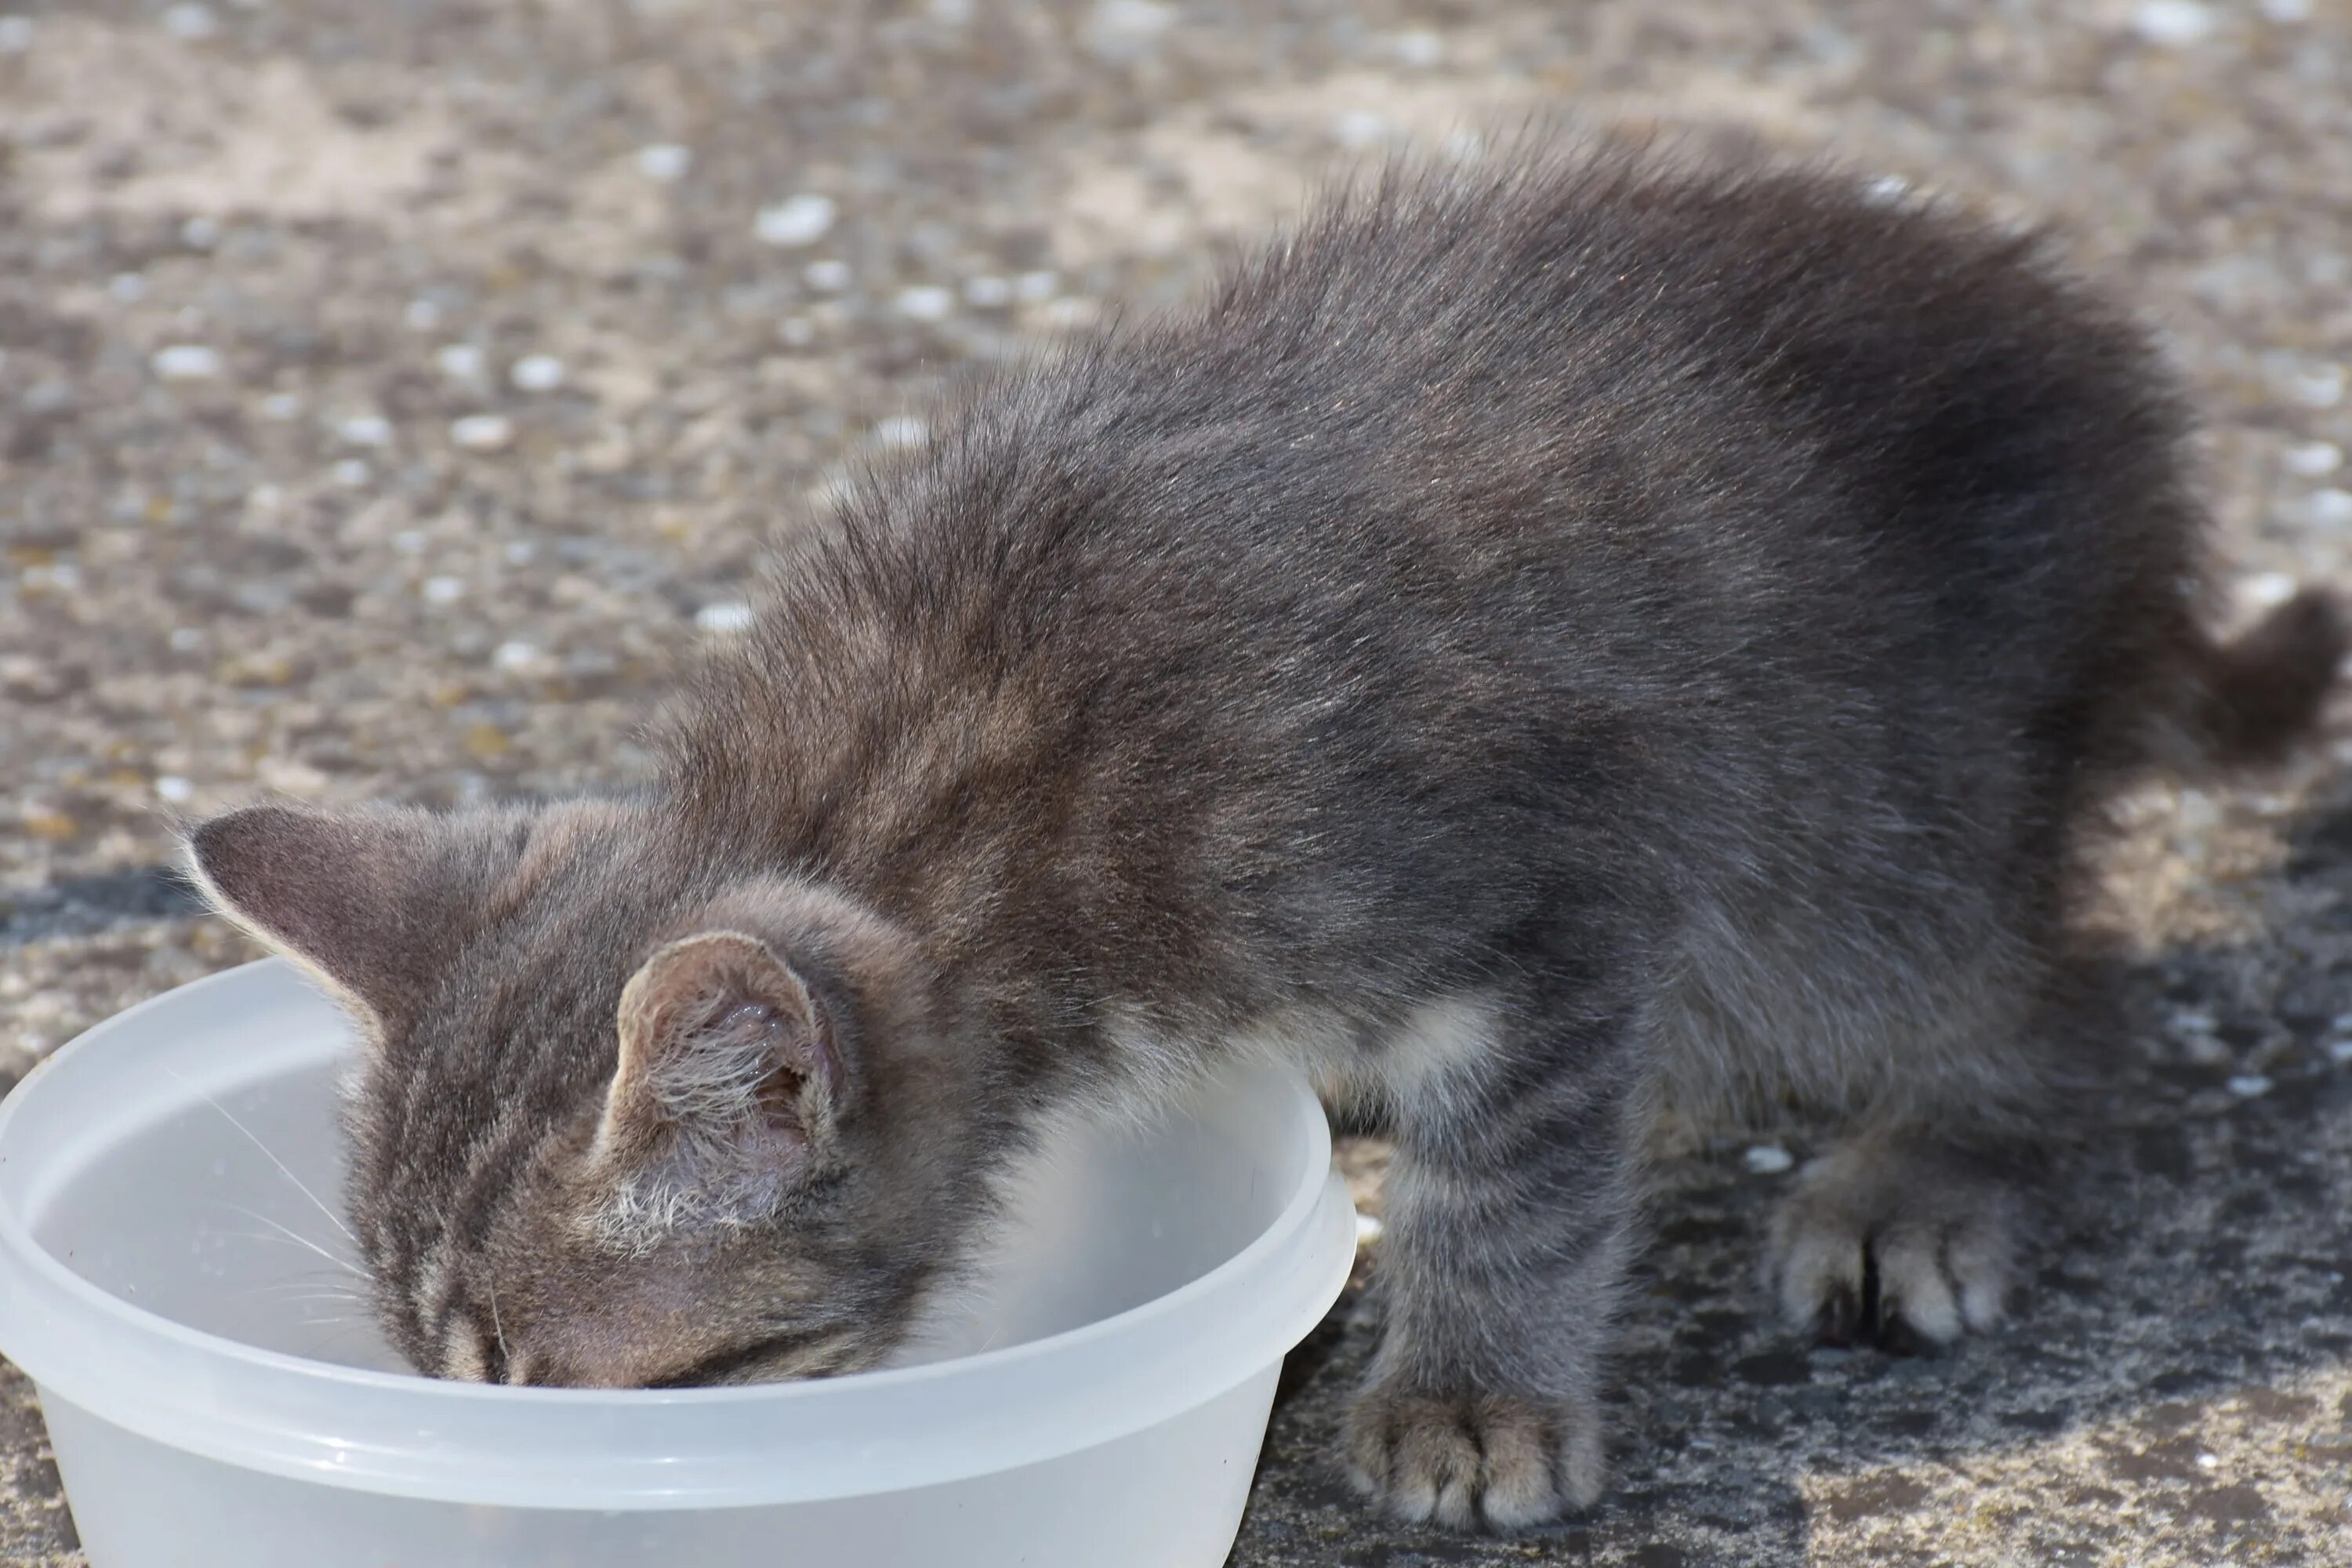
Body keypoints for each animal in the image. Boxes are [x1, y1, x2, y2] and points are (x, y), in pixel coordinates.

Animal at [179, 147, 2333, 1533]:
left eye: (557, 1386)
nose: (486, 1474)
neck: (957, 794)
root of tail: (2145, 480)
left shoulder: (1549, 894)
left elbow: (1518, 1183)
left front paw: (1471, 1389)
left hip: (1863, 829)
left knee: (2052, 995)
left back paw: (1921, 1168)